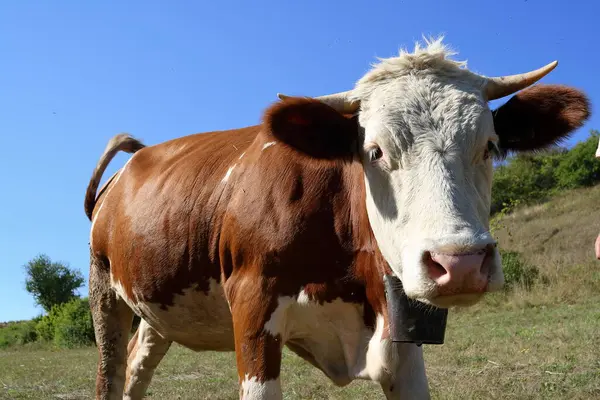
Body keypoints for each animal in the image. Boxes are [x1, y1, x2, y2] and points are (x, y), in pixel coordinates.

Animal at [84, 38, 592, 400]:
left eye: (489, 146)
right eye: (375, 151)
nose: (461, 264)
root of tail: (137, 158)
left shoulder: (401, 333)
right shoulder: (252, 311)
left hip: (158, 305)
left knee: (138, 367)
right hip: (103, 289)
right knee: (111, 375)